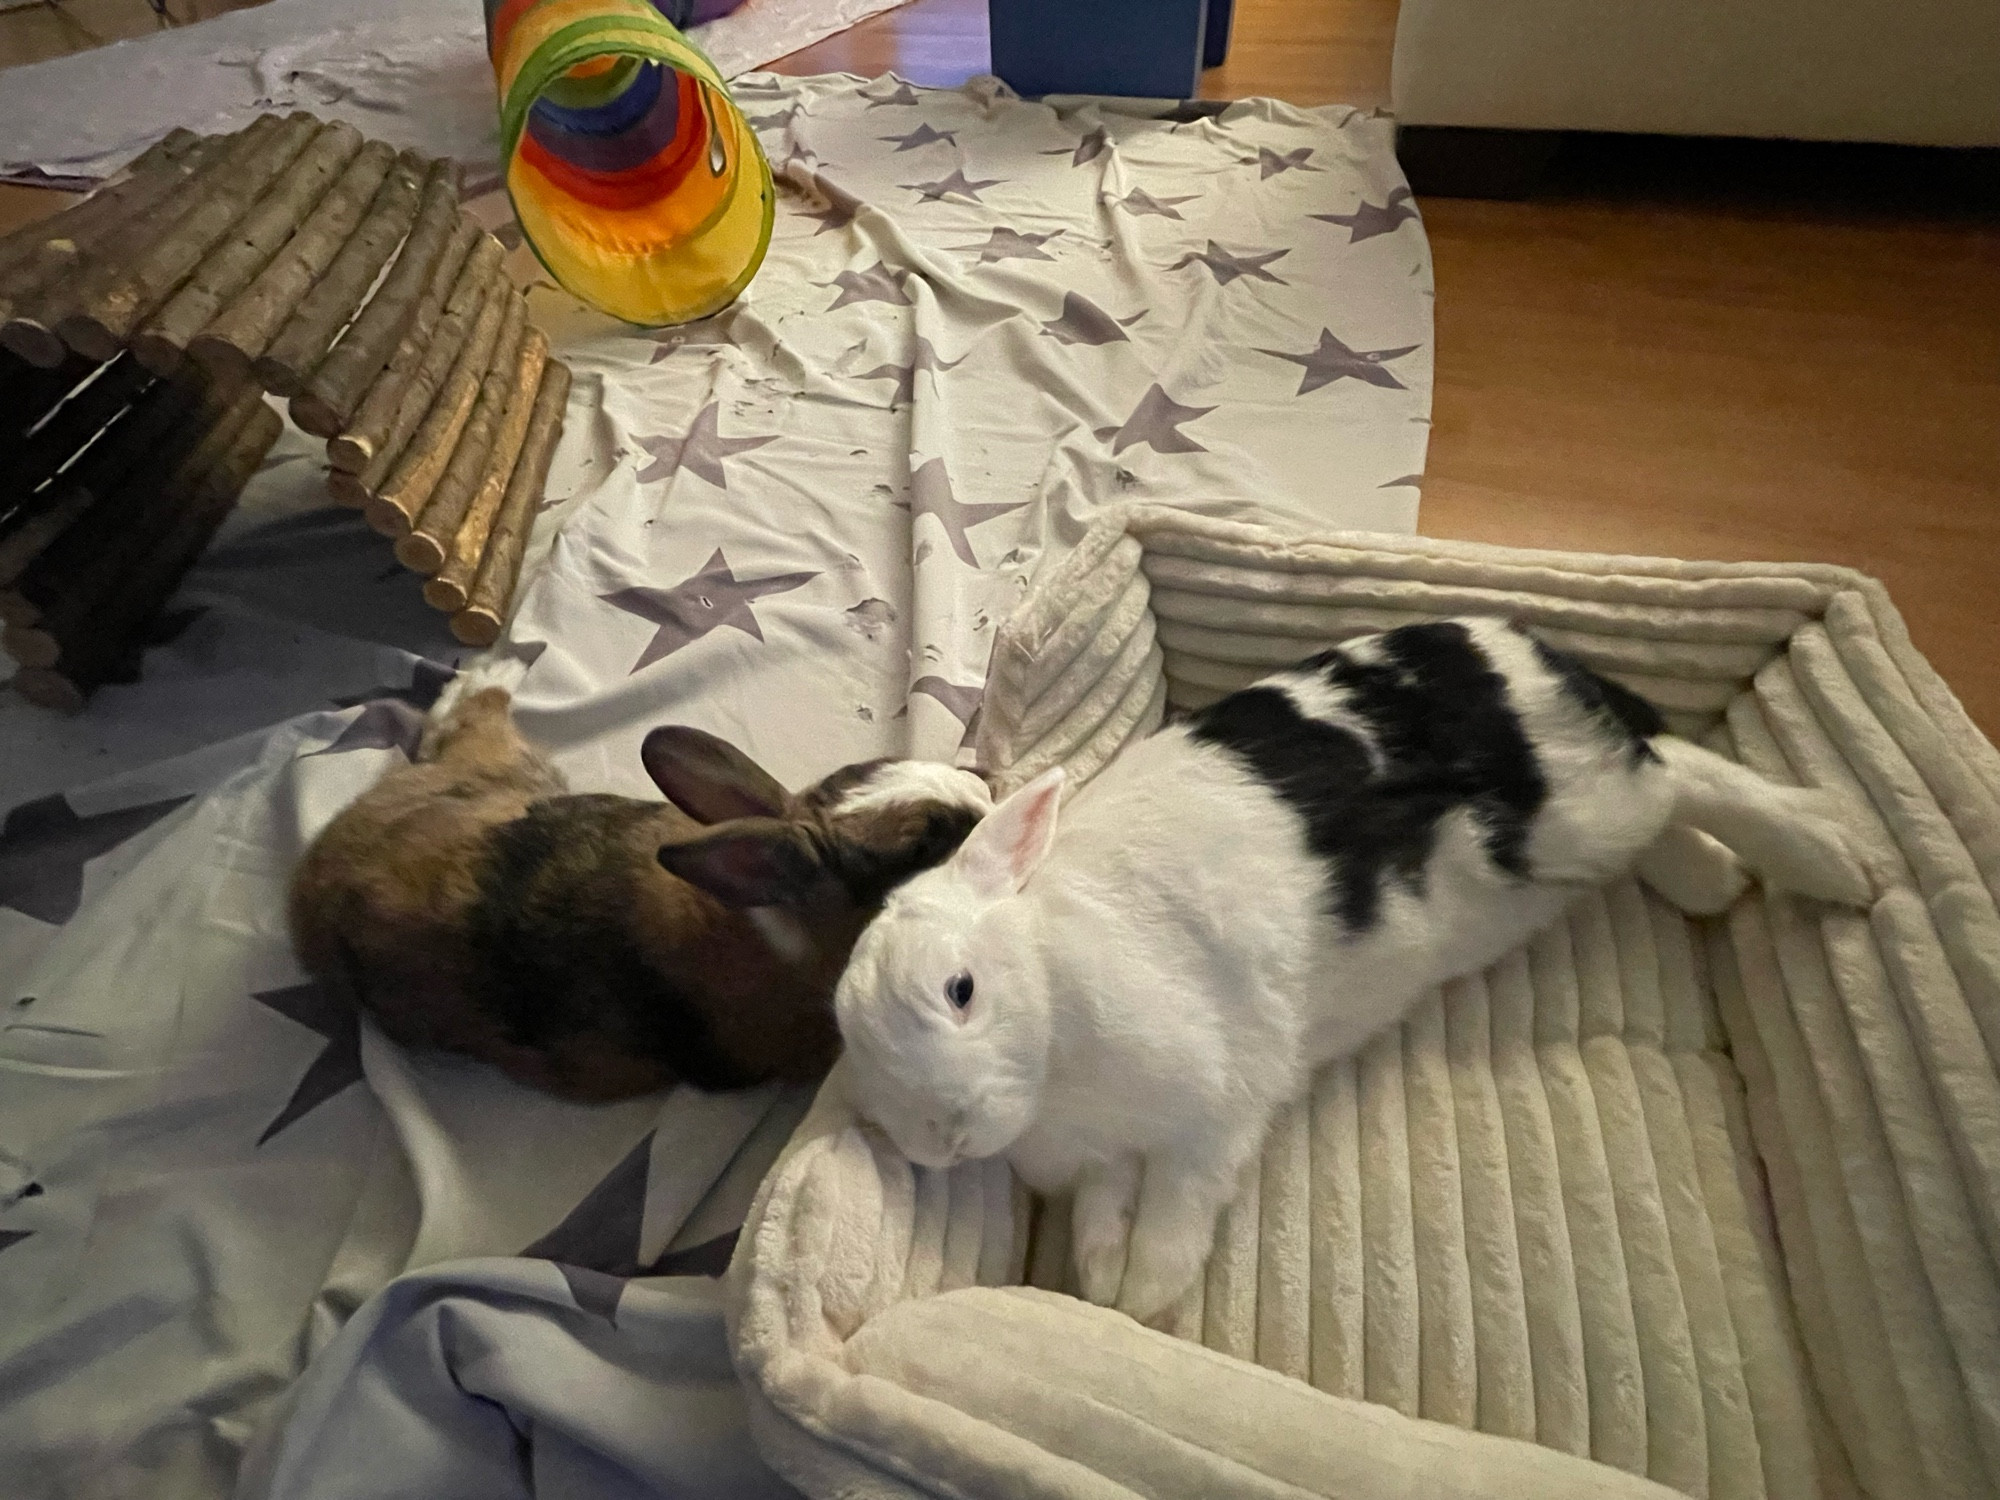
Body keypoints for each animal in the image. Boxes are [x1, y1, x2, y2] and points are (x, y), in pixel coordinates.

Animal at [832, 616, 1872, 1320]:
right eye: (862, 1067)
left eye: (961, 991)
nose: (943, 1140)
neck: (1051, 1014)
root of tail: (1516, 647)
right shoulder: (1111, 1156)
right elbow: (1106, 1206)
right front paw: (1100, 1274)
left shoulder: (1219, 1105)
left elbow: (1181, 1195)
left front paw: (1146, 1288)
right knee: (1671, 791)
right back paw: (1713, 880)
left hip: (1571, 811)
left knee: (1685, 774)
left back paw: (1838, 860)